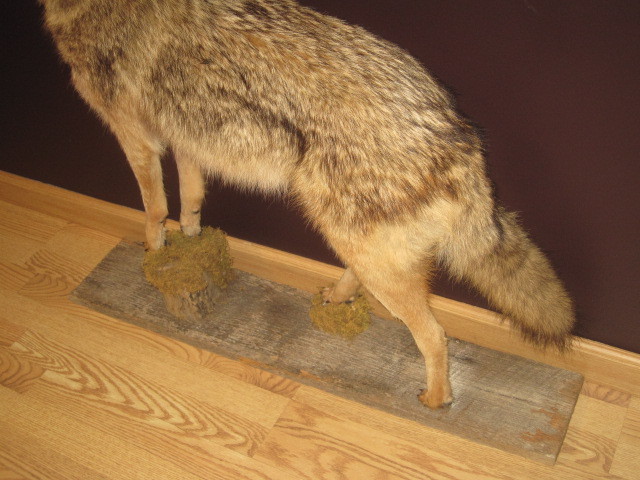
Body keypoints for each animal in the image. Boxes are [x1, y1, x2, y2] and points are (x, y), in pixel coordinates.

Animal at [40, 0, 575, 408]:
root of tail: (460, 135)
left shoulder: (136, 136)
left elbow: (153, 208)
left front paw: (154, 251)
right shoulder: (188, 136)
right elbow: (190, 199)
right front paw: (190, 240)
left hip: (357, 243)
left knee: (435, 336)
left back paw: (436, 399)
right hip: (355, 239)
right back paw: (337, 297)